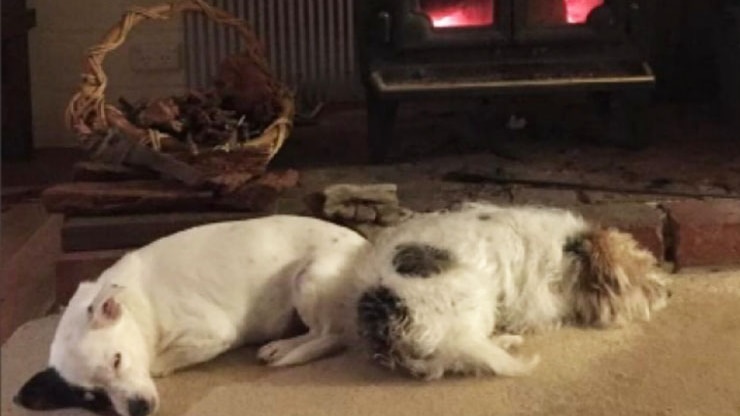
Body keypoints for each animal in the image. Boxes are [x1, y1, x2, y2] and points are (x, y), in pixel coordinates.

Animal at [13, 216, 368, 416]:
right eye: (94, 398)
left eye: (117, 360)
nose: (137, 409)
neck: (137, 304)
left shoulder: (215, 334)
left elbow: (157, 364)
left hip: (310, 277)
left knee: (328, 335)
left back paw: (284, 348)